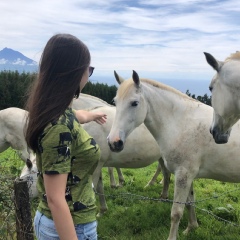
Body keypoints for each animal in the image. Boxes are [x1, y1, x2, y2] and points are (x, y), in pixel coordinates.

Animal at [21, 106, 171, 215]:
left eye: (26, 179)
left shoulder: (96, 166)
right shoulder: (97, 166)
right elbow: (99, 187)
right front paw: (103, 211)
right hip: (162, 158)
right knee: (166, 175)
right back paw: (163, 196)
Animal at [107, 71, 240, 240]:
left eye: (134, 103)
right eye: (115, 102)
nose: (114, 142)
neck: (180, 123)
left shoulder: (183, 175)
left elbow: (176, 213)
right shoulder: (188, 176)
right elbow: (189, 202)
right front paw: (191, 227)